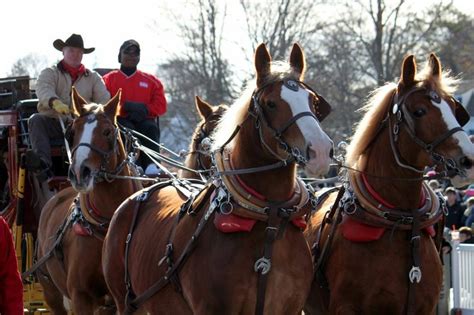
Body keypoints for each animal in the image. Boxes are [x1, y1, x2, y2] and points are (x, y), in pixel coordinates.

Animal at [34, 89, 141, 315]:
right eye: (71, 133)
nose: (79, 173)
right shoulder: (80, 296)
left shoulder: (125, 299)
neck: (107, 225)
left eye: (107, 132)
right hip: (51, 293)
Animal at [304, 53, 474, 314]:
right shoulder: (346, 307)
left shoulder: (423, 307)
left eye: (455, 109)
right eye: (419, 111)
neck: (400, 223)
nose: (468, 160)